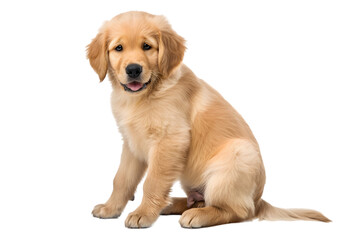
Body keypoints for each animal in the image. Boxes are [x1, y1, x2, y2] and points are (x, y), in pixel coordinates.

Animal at [86, 11, 330, 229]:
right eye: (118, 48)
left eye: (147, 46)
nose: (134, 70)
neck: (145, 95)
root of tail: (259, 200)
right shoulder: (131, 143)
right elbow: (121, 179)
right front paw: (110, 208)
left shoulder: (170, 140)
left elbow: (152, 181)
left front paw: (143, 214)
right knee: (199, 200)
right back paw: (173, 204)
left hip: (237, 156)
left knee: (238, 211)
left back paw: (197, 215)